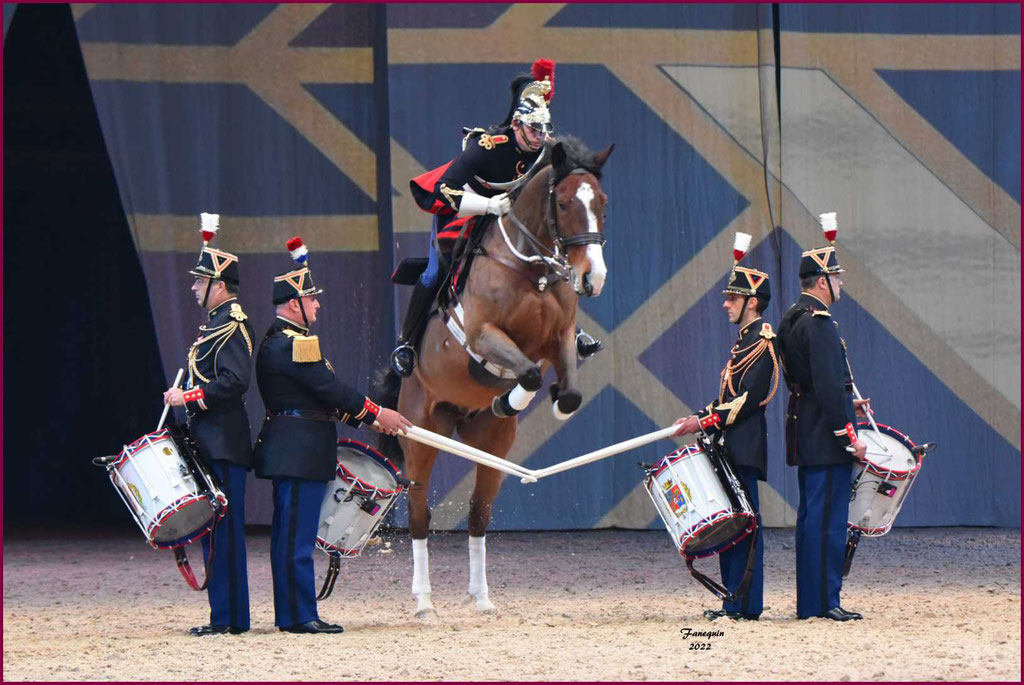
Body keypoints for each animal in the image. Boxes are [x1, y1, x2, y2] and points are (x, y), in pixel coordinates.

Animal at [380, 135, 610, 614]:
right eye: (563, 203)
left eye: (602, 202)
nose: (592, 278)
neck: (531, 269)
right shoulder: (482, 335)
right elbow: (526, 374)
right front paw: (510, 397)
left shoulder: (560, 338)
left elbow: (568, 391)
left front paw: (545, 403)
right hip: (420, 432)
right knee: (418, 515)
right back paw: (424, 600)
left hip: (492, 445)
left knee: (477, 514)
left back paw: (482, 597)